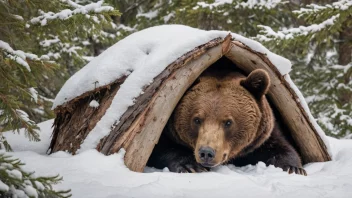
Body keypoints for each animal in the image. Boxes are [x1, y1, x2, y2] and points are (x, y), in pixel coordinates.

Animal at [147, 67, 306, 176]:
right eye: (197, 119)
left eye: (228, 122)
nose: (206, 152)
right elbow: (162, 148)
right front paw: (191, 166)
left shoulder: (262, 136)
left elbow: (280, 148)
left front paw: (294, 168)